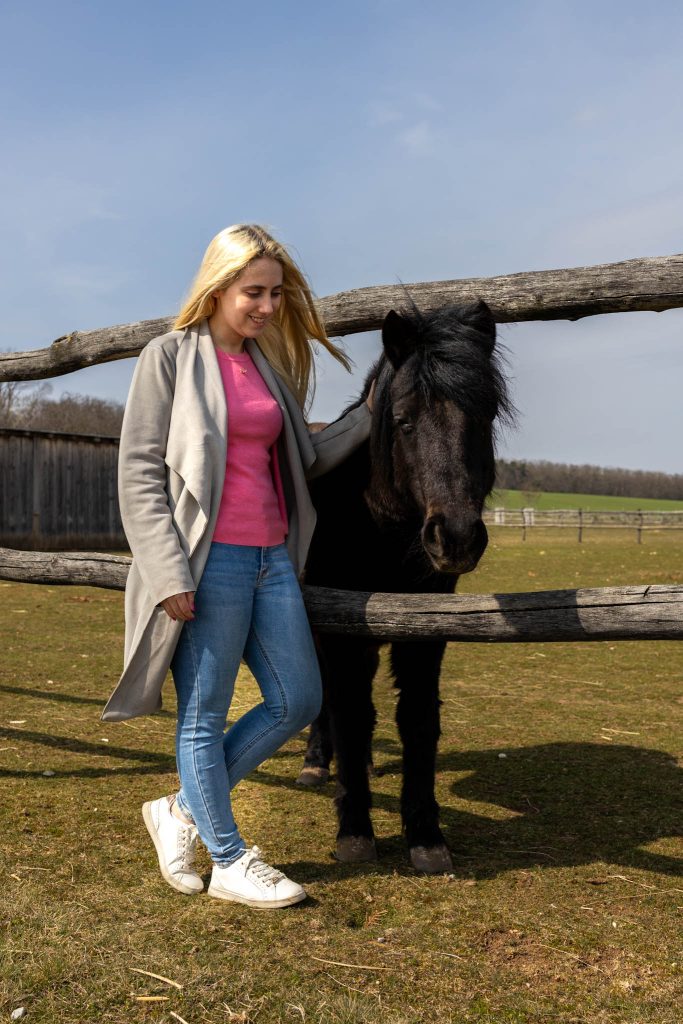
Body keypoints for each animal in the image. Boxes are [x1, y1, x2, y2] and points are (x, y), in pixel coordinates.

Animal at [297, 298, 513, 873]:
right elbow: (349, 711)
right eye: (404, 420)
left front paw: (426, 836)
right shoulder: (341, 626)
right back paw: (316, 762)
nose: (456, 537)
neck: (379, 528)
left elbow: (416, 719)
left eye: (485, 416)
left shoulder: (425, 626)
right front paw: (354, 830)